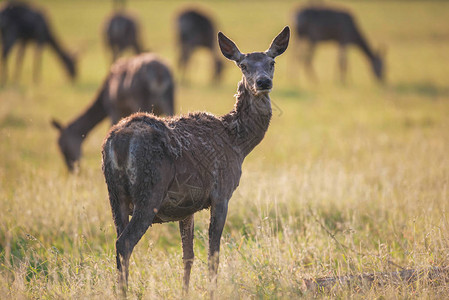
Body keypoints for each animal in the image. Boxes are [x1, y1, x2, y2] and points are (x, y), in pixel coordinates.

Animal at [101, 25, 288, 296]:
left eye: (271, 62)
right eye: (243, 65)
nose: (263, 82)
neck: (237, 143)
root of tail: (118, 142)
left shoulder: (186, 206)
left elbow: (187, 255)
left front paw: (185, 292)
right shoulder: (221, 193)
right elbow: (214, 254)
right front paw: (212, 292)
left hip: (114, 195)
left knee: (118, 239)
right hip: (150, 189)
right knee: (124, 242)